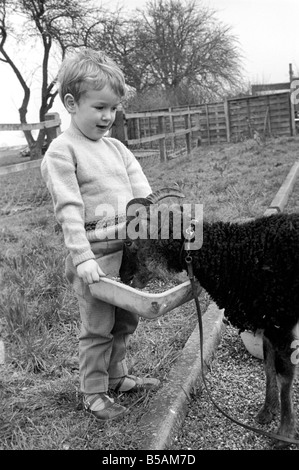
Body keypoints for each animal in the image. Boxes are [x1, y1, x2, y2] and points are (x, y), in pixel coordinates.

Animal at [120, 188, 299, 448]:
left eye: (129, 241)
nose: (124, 278)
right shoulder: (265, 321)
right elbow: (268, 367)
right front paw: (267, 412)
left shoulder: (280, 323)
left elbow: (285, 376)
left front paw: (284, 434)